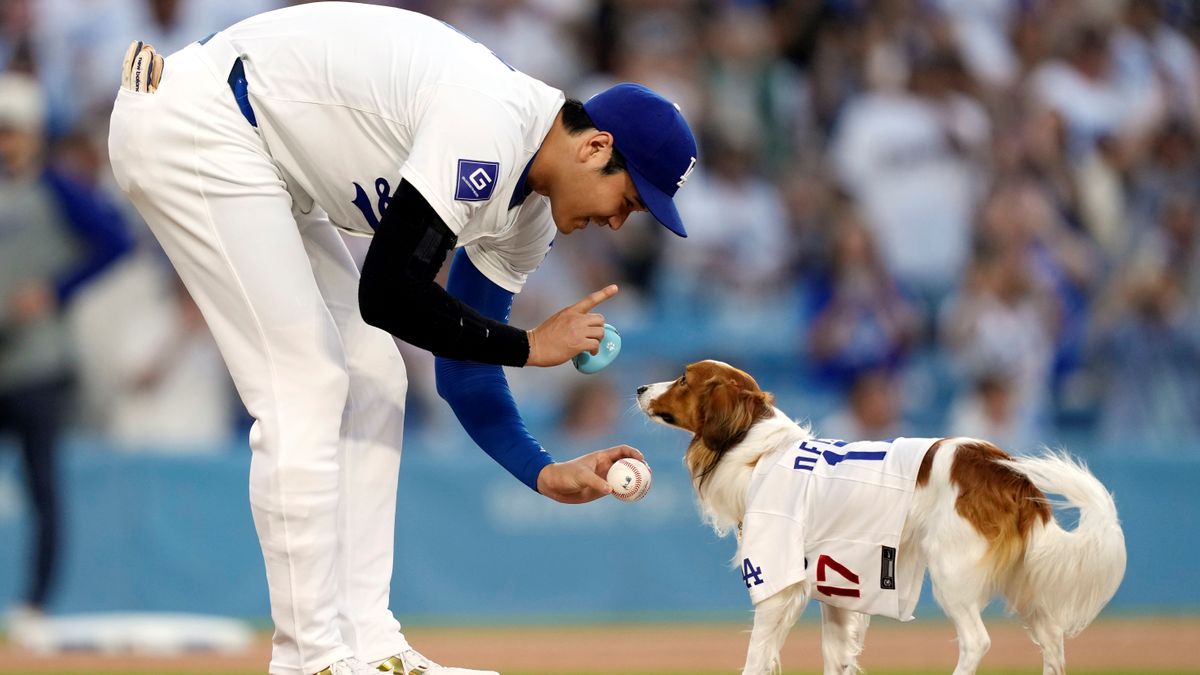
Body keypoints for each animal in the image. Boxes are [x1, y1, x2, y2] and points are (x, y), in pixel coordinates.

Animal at [638, 360, 1123, 672]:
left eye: (683, 379)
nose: (640, 389)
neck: (755, 448)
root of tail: (1000, 466)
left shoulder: (775, 583)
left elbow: (757, 656)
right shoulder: (837, 590)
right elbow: (837, 658)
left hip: (951, 576)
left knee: (976, 641)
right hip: (1024, 587)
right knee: (1053, 641)